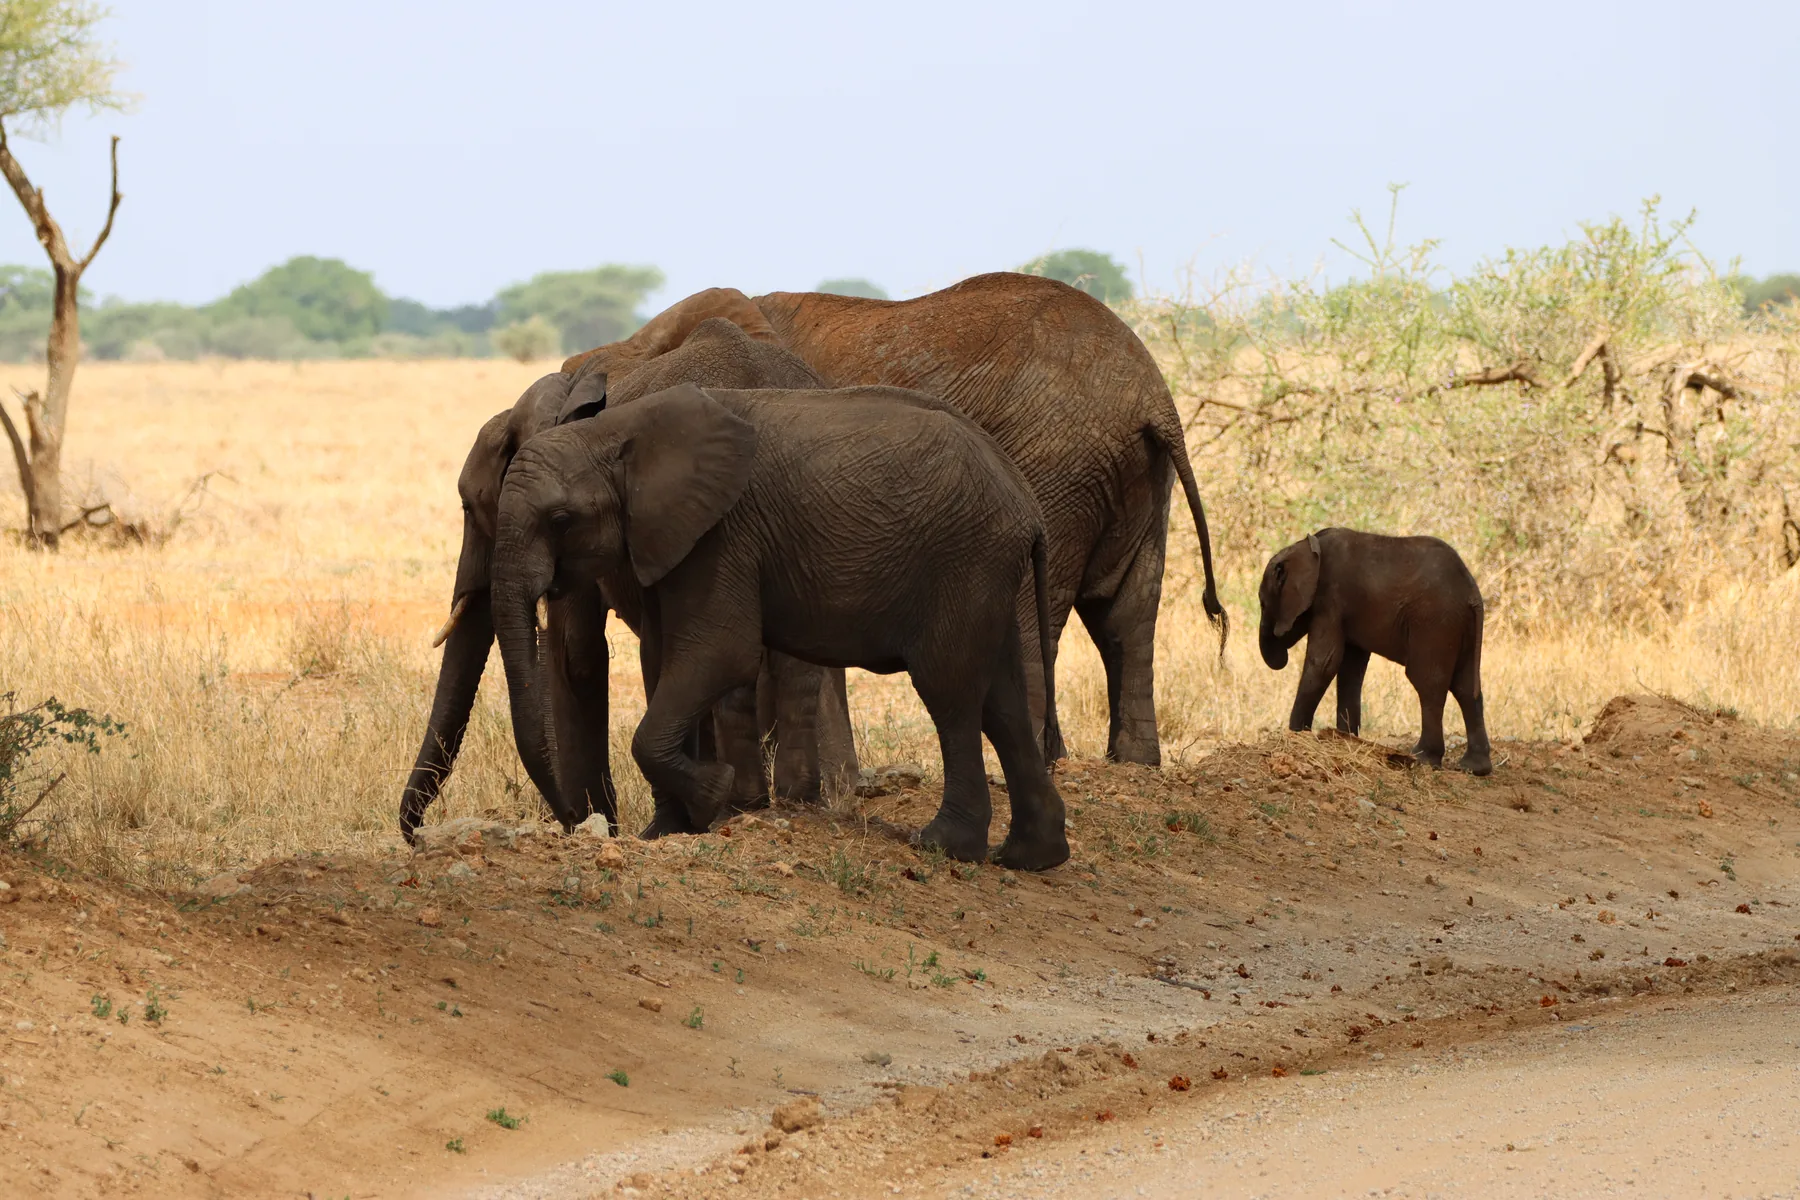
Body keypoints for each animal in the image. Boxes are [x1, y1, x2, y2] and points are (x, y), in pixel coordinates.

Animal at [491, 382, 1070, 870]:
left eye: (560, 520)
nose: (577, 822)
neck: (614, 430)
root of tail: (1029, 505)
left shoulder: (721, 535)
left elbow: (721, 653)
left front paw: (714, 796)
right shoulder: (664, 541)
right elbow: (662, 661)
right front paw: (667, 832)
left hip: (964, 561)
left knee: (951, 694)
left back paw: (944, 846)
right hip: (986, 572)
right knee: (1002, 702)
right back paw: (1029, 858)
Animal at [562, 273, 1226, 767]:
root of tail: (1155, 398)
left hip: (1057, 464)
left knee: (1032, 616)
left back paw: (1036, 764)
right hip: (1138, 477)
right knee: (1127, 616)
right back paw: (1132, 765)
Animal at [1257, 528, 1492, 776]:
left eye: (1262, 603)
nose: (1281, 653)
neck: (1307, 545)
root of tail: (1472, 594)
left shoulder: (1330, 600)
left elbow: (1324, 662)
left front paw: (1296, 735)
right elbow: (1350, 668)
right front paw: (1346, 740)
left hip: (1435, 623)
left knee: (1428, 683)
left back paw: (1423, 758)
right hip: (1460, 626)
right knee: (1465, 687)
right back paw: (1474, 768)